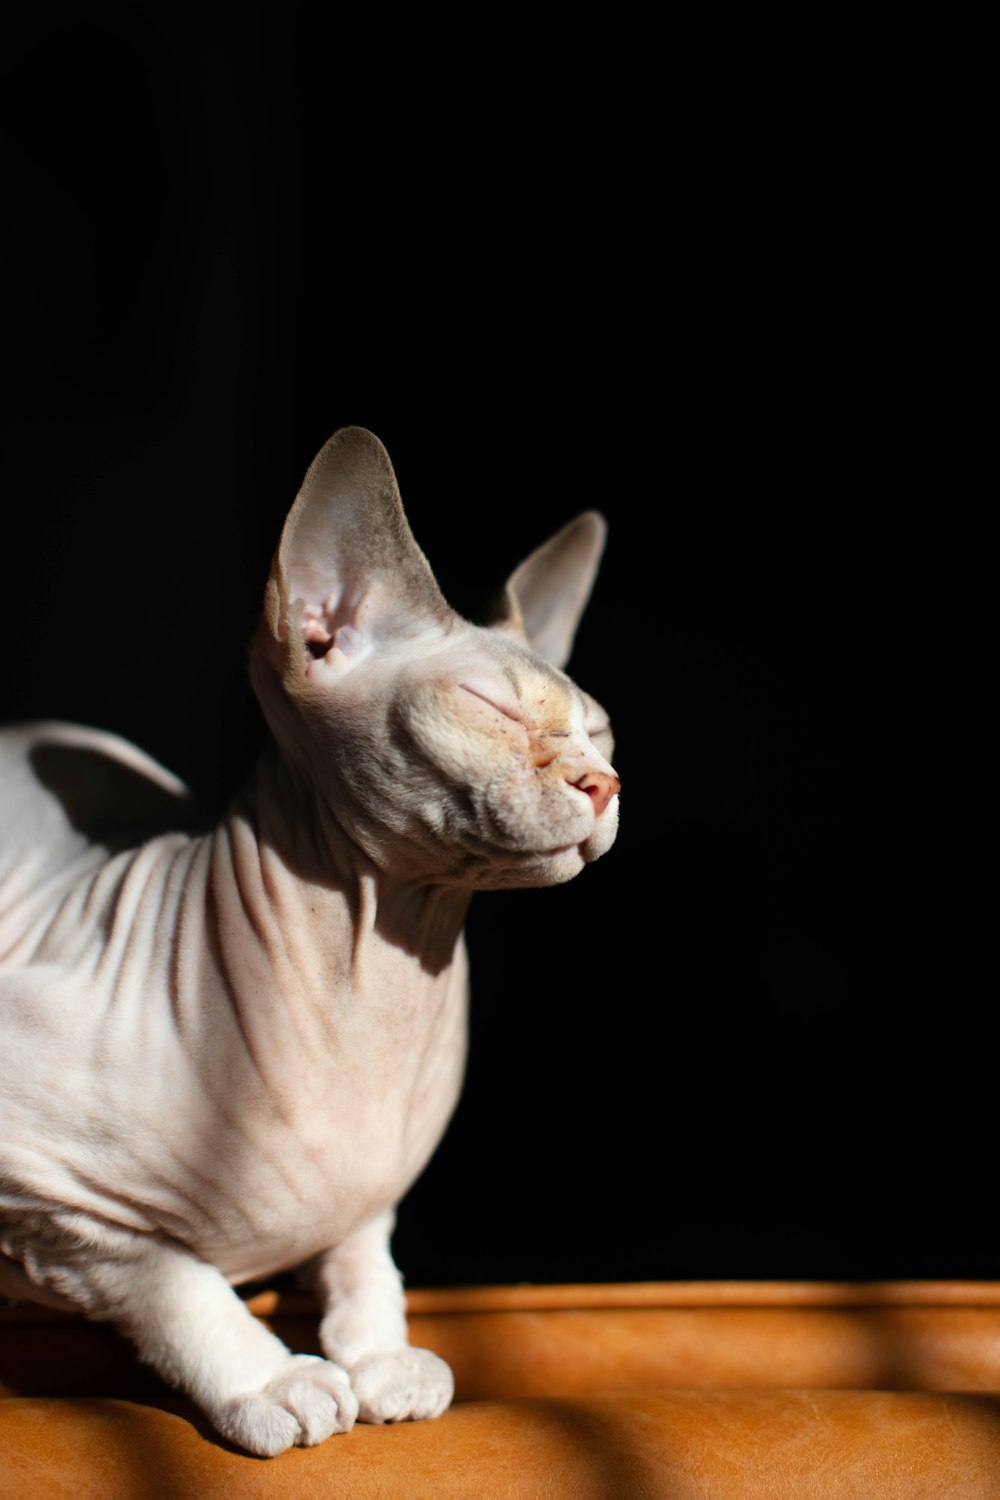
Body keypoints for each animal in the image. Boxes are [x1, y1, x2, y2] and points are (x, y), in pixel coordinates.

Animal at [0, 423, 617, 1452]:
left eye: (602, 733)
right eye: (490, 707)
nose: (605, 784)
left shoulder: (372, 1193)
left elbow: (364, 1255)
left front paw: (377, 1358)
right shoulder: (51, 1204)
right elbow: (170, 1279)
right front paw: (274, 1381)